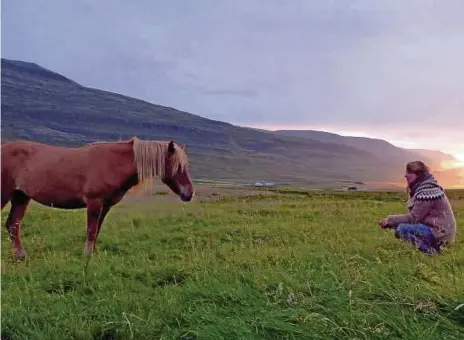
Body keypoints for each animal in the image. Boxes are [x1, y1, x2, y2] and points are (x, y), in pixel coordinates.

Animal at [0, 137, 195, 258]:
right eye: (177, 166)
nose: (190, 193)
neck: (112, 162)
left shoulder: (105, 206)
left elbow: (97, 230)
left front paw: (93, 253)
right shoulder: (94, 202)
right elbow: (91, 230)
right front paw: (87, 255)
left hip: (21, 197)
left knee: (13, 225)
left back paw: (21, 256)